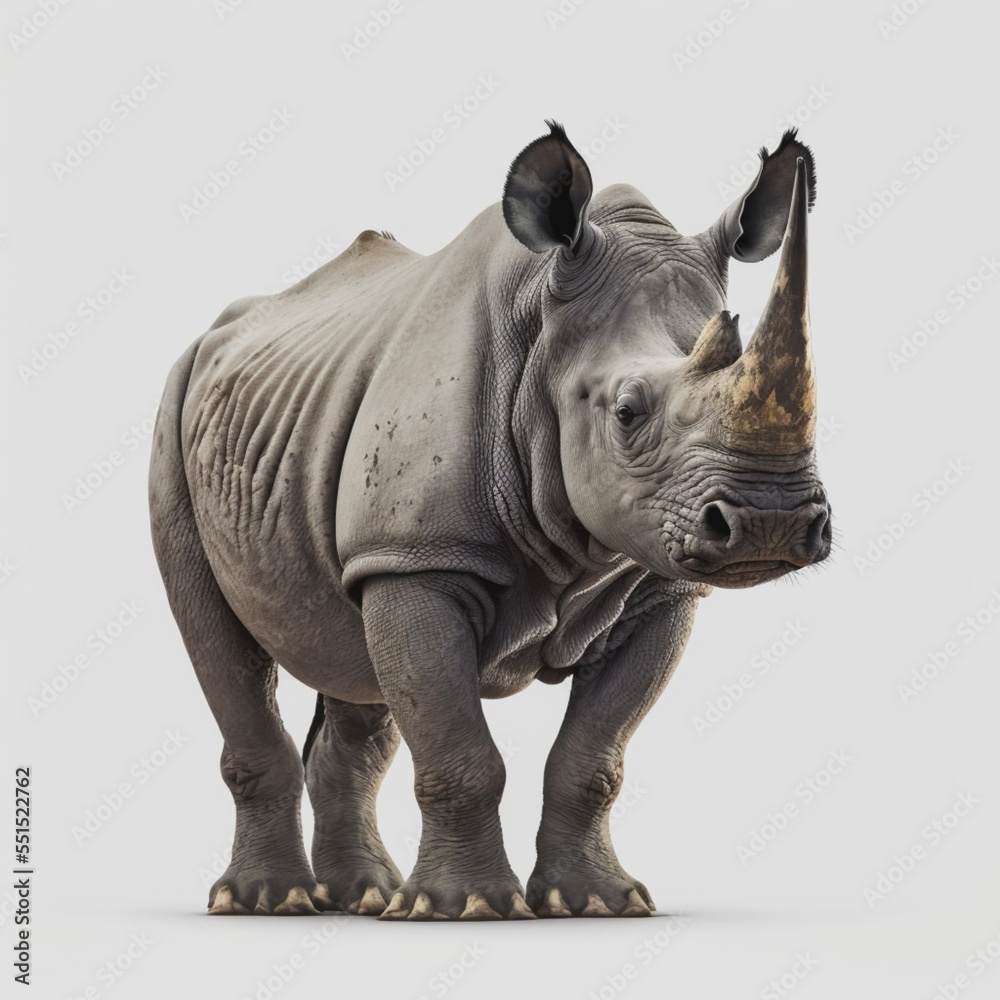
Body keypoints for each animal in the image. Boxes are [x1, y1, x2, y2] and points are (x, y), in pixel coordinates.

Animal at [148, 121, 831, 920]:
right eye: (627, 412)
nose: (770, 523)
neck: (541, 337)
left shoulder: (657, 588)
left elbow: (592, 759)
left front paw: (598, 902)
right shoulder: (419, 558)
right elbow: (461, 751)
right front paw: (463, 907)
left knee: (351, 661)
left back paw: (363, 896)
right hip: (177, 408)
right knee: (224, 640)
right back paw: (267, 900)